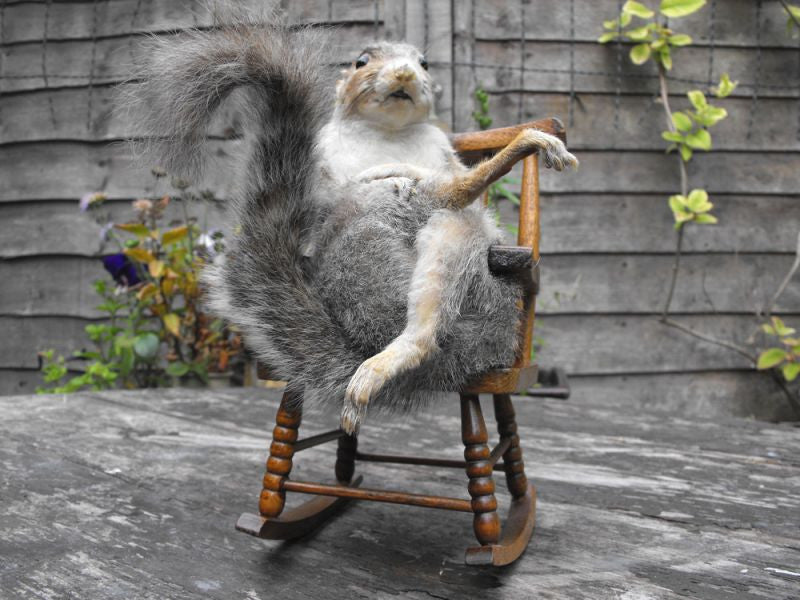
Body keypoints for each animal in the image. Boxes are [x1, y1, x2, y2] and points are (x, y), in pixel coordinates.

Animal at [126, 15, 577, 434]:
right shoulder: (331, 165)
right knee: (438, 217)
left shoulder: (441, 154)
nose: (404, 73)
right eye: (361, 61)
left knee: (455, 223)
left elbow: (452, 180)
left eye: (424, 63)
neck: (388, 132)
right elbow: (339, 197)